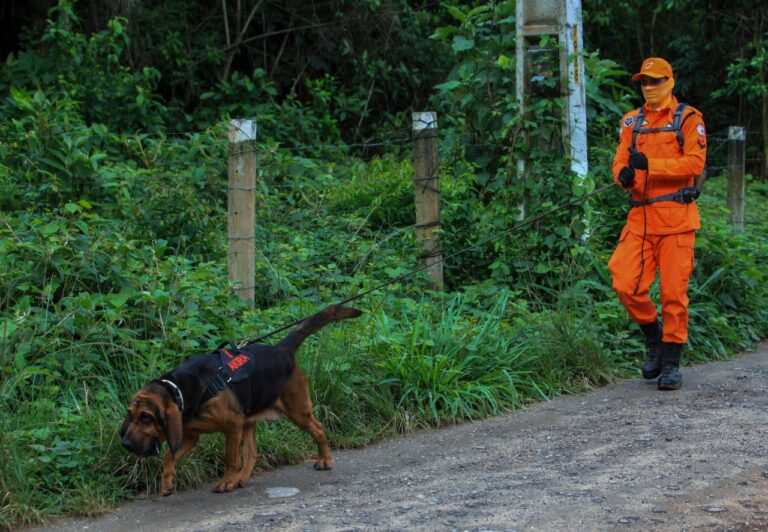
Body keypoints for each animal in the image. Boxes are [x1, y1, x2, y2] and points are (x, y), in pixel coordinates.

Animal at [118, 306, 362, 496]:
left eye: (146, 418)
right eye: (130, 415)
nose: (126, 444)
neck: (180, 390)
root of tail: (282, 349)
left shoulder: (232, 426)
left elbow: (230, 459)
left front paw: (226, 481)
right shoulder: (190, 436)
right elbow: (169, 456)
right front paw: (167, 483)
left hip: (297, 411)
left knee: (318, 429)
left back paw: (324, 459)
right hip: (249, 421)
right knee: (252, 453)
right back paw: (241, 478)